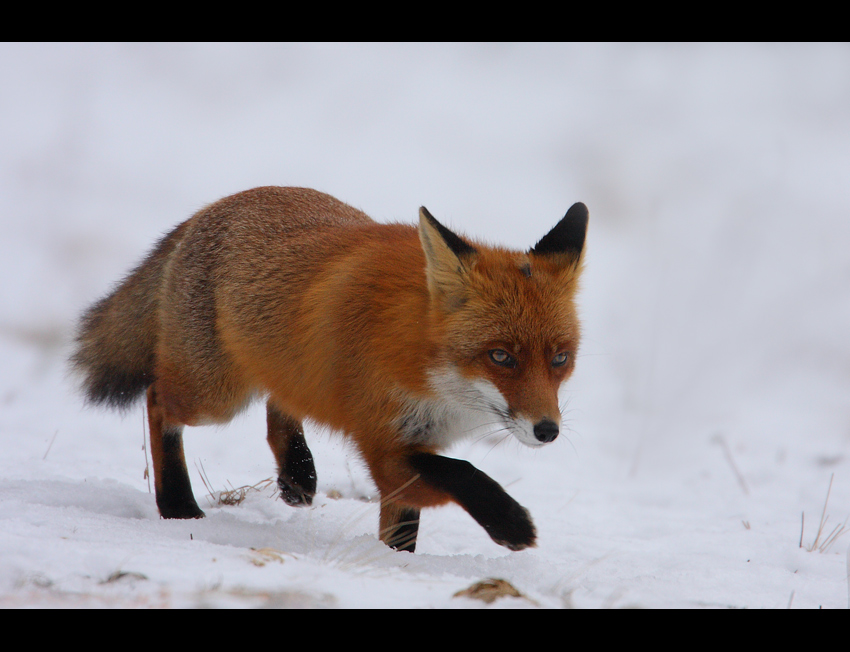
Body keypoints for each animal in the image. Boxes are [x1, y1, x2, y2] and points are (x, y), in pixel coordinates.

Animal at [69, 186, 584, 552]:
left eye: (560, 358)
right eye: (501, 357)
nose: (548, 431)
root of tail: (214, 207)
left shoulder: (415, 443)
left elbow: (403, 532)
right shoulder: (386, 446)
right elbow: (463, 472)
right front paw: (509, 523)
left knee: (279, 406)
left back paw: (296, 473)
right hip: (213, 396)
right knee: (157, 398)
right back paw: (177, 504)